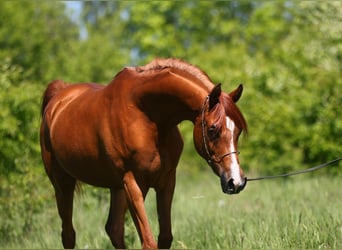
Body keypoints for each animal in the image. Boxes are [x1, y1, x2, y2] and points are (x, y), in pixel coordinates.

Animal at [40, 58, 247, 248]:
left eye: (238, 131)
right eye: (212, 129)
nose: (236, 181)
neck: (146, 113)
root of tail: (58, 98)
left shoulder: (166, 182)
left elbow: (165, 238)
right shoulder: (133, 183)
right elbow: (149, 242)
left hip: (116, 187)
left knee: (114, 229)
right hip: (63, 183)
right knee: (68, 234)